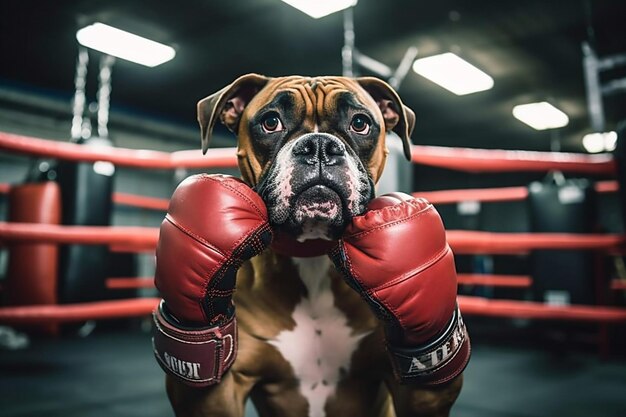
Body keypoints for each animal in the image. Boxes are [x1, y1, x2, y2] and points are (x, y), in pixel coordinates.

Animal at [154, 75, 466, 416]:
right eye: (271, 122)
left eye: (360, 123)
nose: (318, 145)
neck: (312, 252)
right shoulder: (219, 392)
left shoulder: (416, 390)